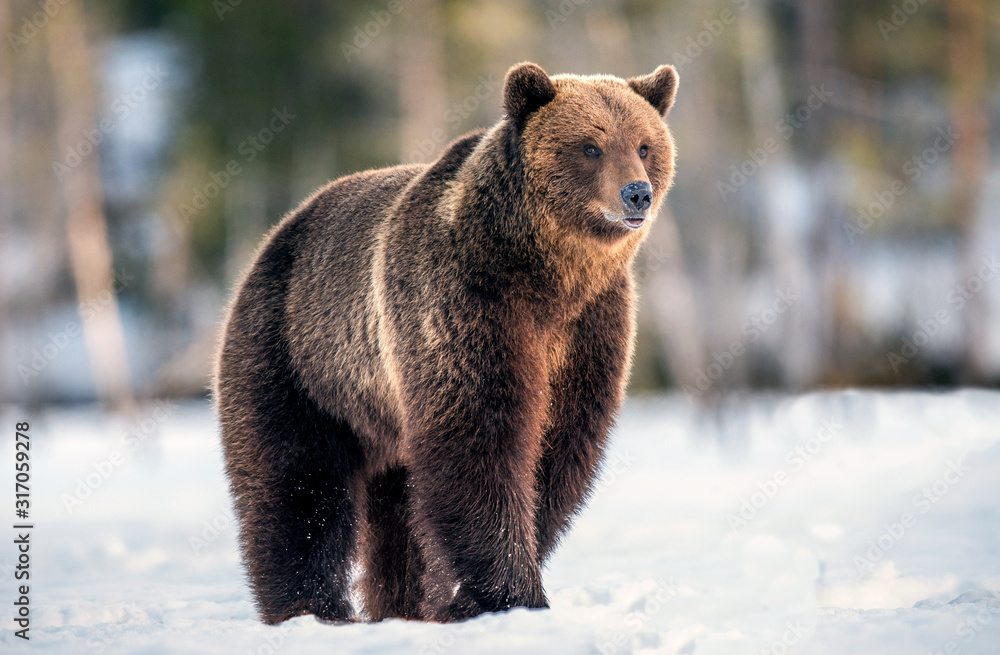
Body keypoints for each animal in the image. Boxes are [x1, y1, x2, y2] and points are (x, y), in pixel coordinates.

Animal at [215, 61, 678, 624]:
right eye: (590, 146)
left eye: (644, 145)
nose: (636, 193)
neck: (547, 276)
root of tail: (278, 233)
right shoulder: (463, 301)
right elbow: (479, 438)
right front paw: (514, 592)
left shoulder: (589, 328)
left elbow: (557, 450)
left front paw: (477, 595)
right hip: (300, 358)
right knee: (297, 485)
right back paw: (312, 607)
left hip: (381, 413)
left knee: (398, 511)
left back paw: (403, 605)